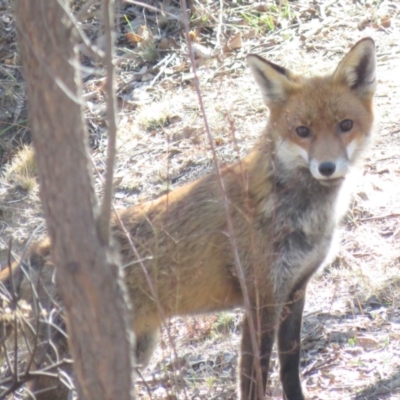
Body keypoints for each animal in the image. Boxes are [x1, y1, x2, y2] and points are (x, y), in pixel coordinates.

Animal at [0, 37, 376, 400]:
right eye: (302, 131)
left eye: (345, 125)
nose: (326, 167)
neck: (297, 212)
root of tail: (31, 256)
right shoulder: (260, 300)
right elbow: (254, 379)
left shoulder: (295, 290)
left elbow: (289, 369)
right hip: (62, 367)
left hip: (135, 350)